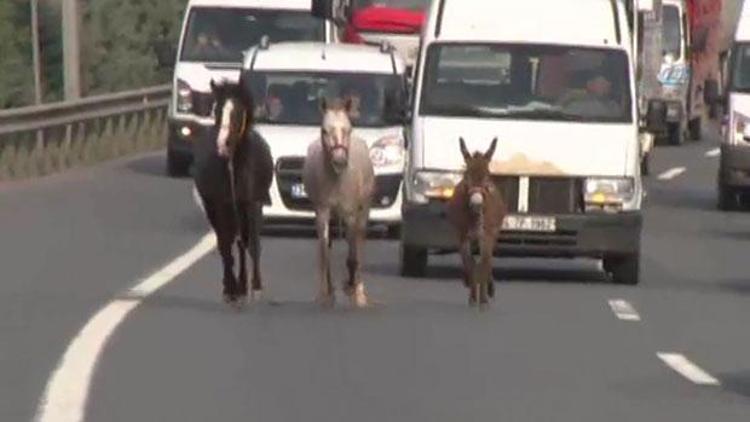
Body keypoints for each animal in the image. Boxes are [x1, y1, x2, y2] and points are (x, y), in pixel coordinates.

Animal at [192, 78, 274, 304]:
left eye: (237, 112)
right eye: (217, 110)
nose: (222, 145)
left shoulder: (252, 204)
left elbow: (251, 244)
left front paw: (255, 287)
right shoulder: (221, 205)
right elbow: (226, 243)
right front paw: (232, 288)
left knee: (242, 241)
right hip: (215, 209)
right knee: (227, 241)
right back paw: (232, 286)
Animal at [302, 97, 376, 306]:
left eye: (348, 129)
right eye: (324, 130)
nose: (339, 161)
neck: (337, 179)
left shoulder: (350, 213)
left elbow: (352, 253)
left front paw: (352, 288)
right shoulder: (322, 211)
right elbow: (324, 251)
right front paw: (325, 293)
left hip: (363, 210)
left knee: (358, 243)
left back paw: (358, 289)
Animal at [450, 138, 508, 306]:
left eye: (487, 177)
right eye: (466, 177)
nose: (476, 203)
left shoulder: (486, 236)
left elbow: (483, 264)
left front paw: (483, 300)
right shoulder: (462, 238)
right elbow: (469, 264)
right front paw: (472, 298)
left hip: (492, 234)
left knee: (487, 262)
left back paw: (489, 289)